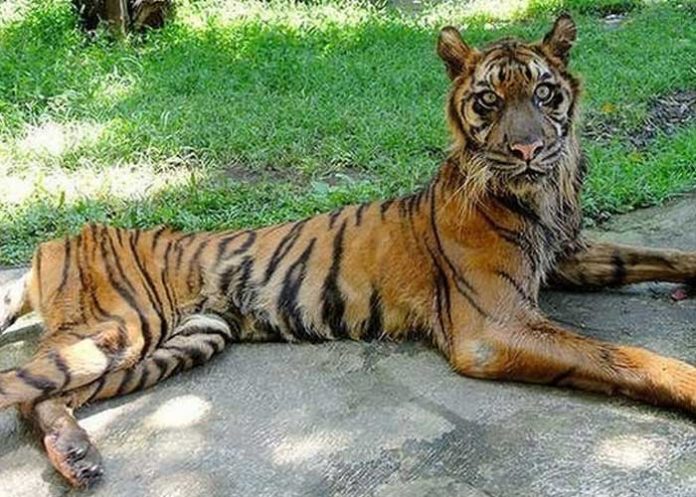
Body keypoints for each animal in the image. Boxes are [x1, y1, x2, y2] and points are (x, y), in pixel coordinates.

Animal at [1, 14, 695, 489]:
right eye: (488, 100)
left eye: (544, 94)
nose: (527, 151)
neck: (544, 196)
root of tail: (57, 239)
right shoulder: (494, 326)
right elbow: (619, 356)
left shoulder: (568, 255)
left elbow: (655, 255)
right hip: (121, 328)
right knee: (19, 386)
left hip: (181, 340)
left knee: (43, 398)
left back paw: (77, 456)